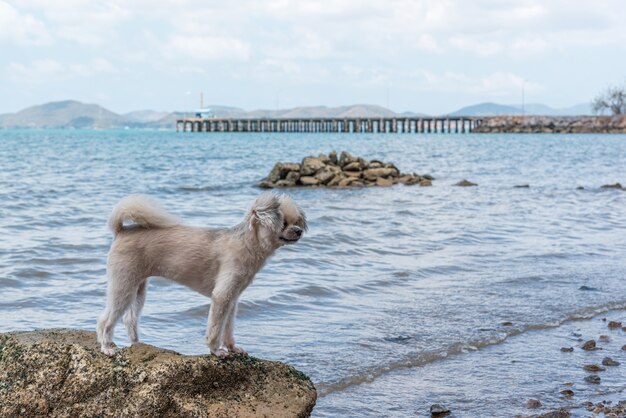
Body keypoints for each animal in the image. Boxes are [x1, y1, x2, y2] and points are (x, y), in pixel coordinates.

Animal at [94, 194, 304, 358]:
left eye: (296, 221)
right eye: (284, 222)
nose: (299, 231)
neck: (246, 243)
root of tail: (121, 231)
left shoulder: (232, 299)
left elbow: (228, 328)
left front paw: (232, 348)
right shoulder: (221, 296)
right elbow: (216, 327)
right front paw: (216, 350)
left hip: (137, 289)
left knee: (129, 319)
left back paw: (137, 342)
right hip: (123, 286)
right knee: (105, 321)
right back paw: (106, 347)